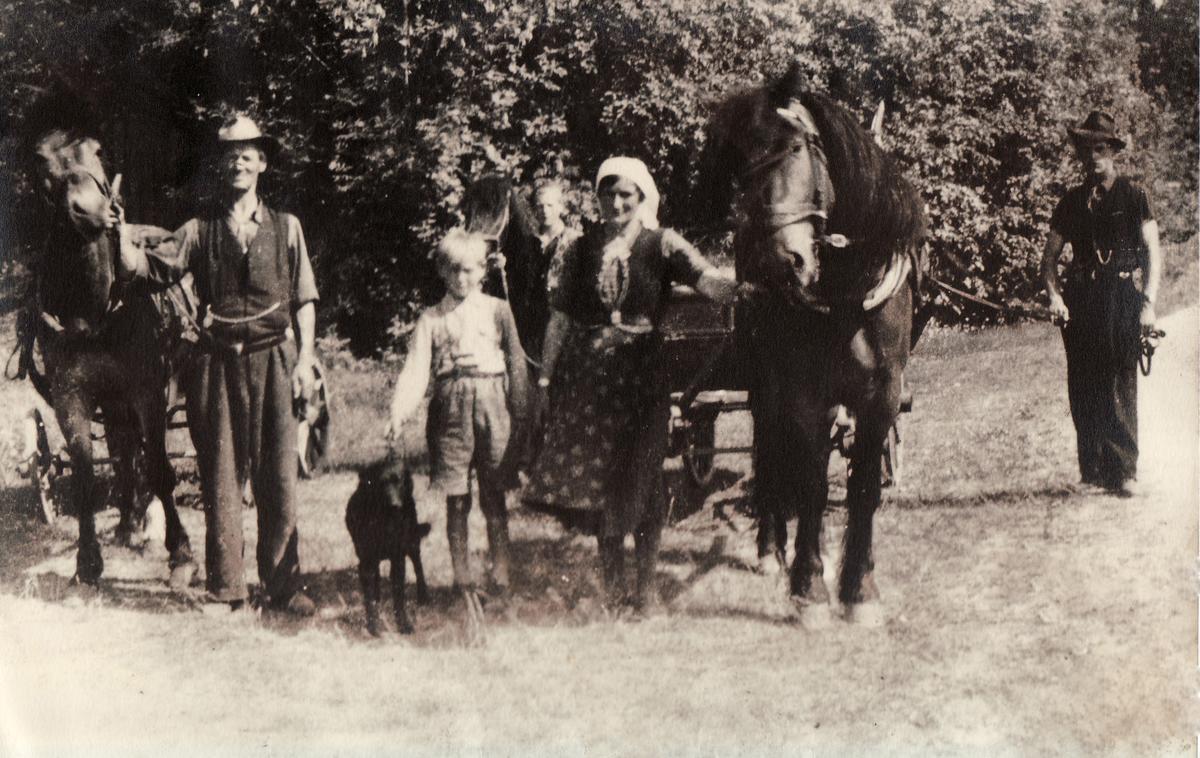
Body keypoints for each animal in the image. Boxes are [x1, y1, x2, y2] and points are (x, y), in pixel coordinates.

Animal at [29, 122, 196, 585]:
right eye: (40, 161)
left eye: (99, 150)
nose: (89, 211)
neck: (95, 310)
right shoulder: (71, 396)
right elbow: (87, 475)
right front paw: (88, 559)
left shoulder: (148, 390)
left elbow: (158, 465)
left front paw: (180, 550)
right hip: (115, 402)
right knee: (124, 455)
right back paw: (129, 521)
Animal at [345, 455, 434, 633]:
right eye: (382, 483)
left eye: (399, 482)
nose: (395, 506)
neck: (385, 520)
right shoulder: (366, 560)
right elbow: (370, 596)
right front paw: (373, 624)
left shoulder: (398, 557)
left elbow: (398, 596)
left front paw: (403, 623)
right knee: (377, 578)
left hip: (412, 541)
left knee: (418, 566)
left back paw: (423, 596)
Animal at [696, 68, 926, 623]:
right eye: (743, 169)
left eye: (798, 147)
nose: (781, 263)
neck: (845, 295)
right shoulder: (804, 391)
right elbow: (812, 484)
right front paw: (809, 586)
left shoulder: (883, 395)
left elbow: (862, 486)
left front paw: (860, 588)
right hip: (764, 382)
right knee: (770, 451)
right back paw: (771, 548)